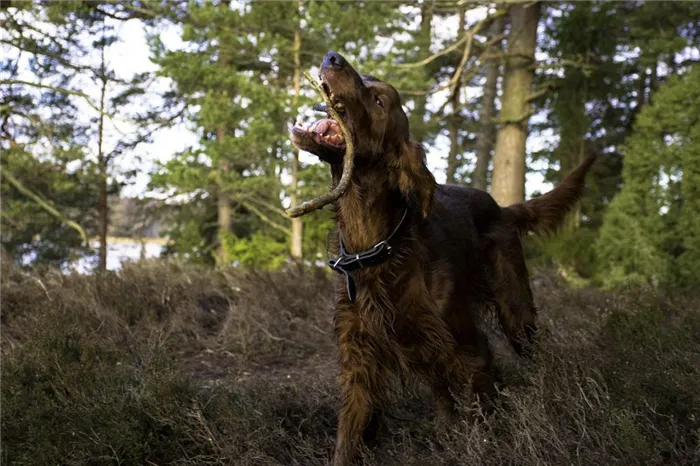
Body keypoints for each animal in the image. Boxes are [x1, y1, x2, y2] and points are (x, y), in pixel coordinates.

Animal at [292, 52, 596, 466]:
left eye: (379, 101)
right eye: (365, 78)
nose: (332, 57)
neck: (379, 245)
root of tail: (501, 207)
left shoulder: (472, 350)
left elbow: (484, 421)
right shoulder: (359, 361)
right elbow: (348, 439)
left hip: (516, 313)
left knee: (531, 352)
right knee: (441, 391)